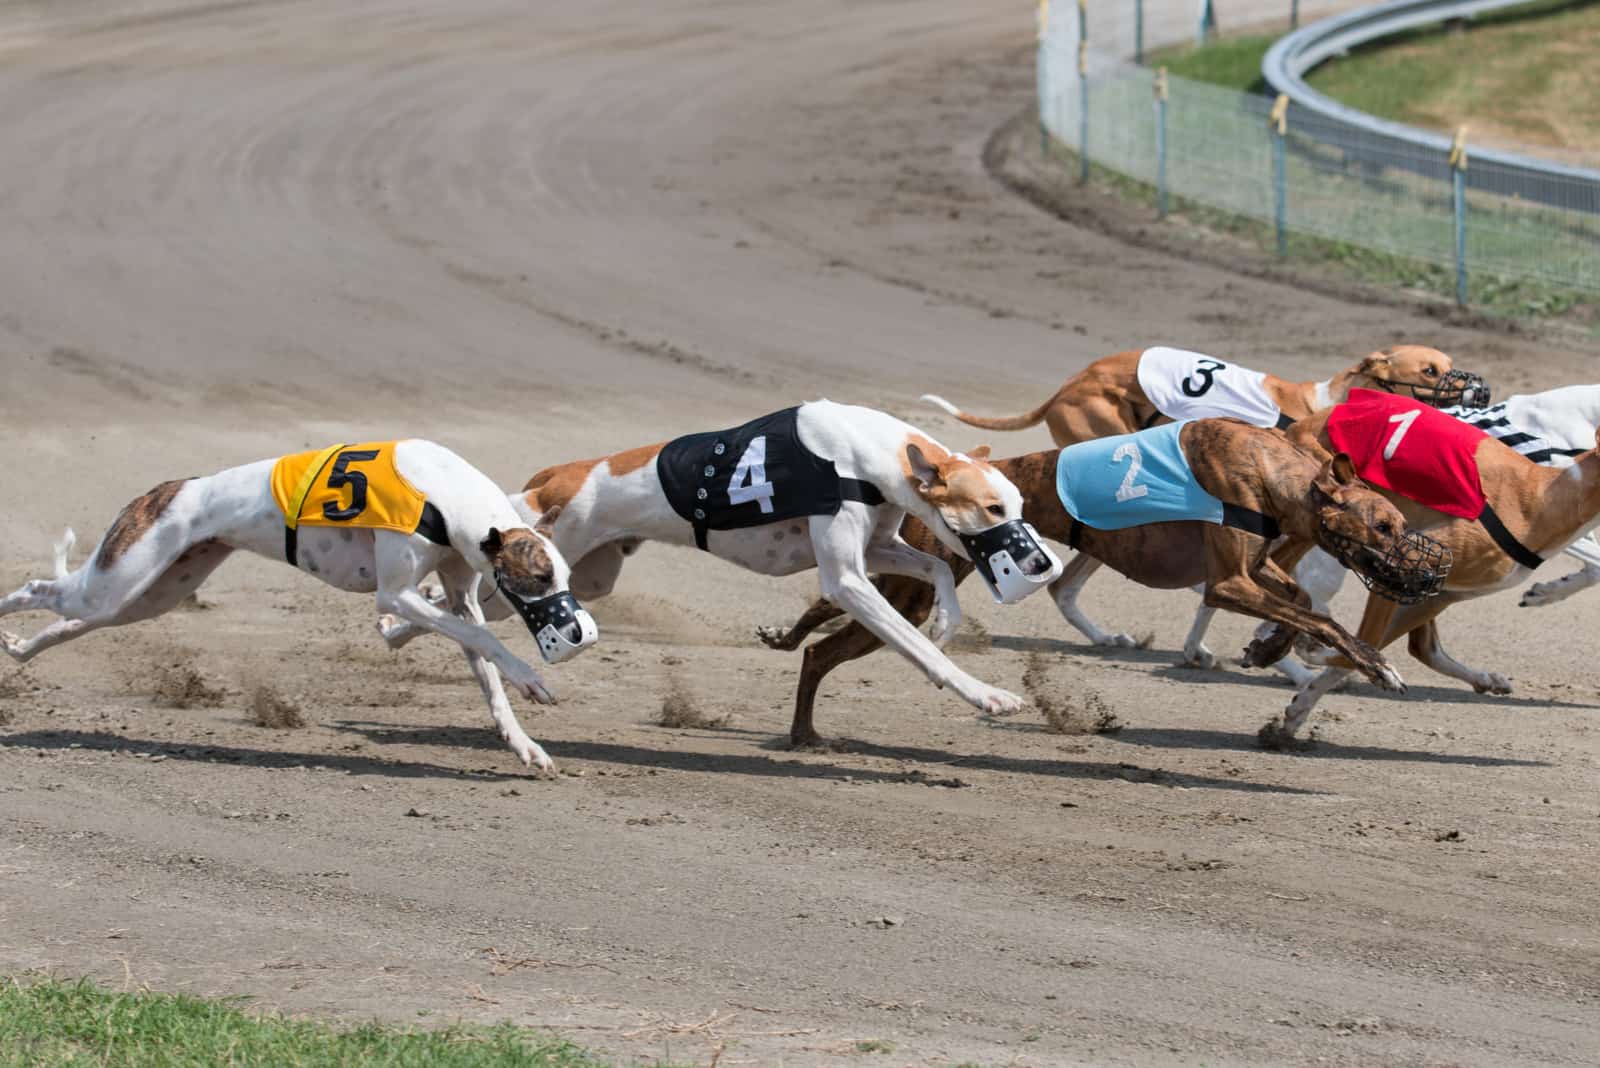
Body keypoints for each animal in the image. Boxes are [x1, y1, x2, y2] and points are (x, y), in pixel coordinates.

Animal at [379, 399, 1062, 716]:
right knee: (444, 599)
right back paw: (393, 623)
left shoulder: (879, 545)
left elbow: (940, 567)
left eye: (1017, 502)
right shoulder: (847, 579)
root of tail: (555, 479)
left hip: (583, 582)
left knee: (452, 607)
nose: (1041, 566)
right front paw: (986, 695)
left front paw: (948, 619)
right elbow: (917, 646)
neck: (865, 453)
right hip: (539, 570)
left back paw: (396, 631)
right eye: (993, 510)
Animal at [755, 422, 1433, 748]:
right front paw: (1379, 666)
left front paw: (1267, 649)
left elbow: (1300, 604)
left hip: (909, 587)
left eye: (1402, 524)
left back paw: (793, 682)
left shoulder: (1256, 570)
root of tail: (937, 480)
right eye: (1384, 524)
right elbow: (1321, 617)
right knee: (828, 643)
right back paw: (803, 727)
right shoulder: (1228, 583)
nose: (1427, 573)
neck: (1271, 471)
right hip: (918, 594)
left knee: (822, 629)